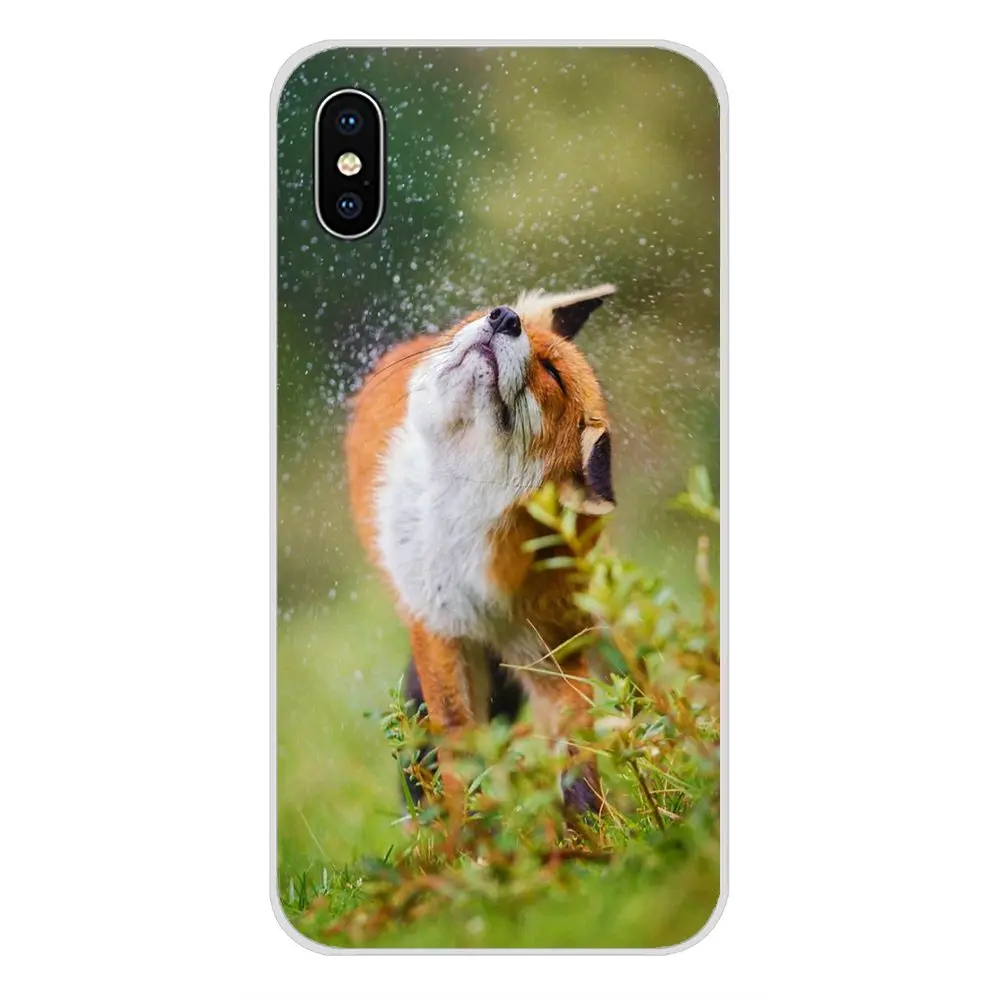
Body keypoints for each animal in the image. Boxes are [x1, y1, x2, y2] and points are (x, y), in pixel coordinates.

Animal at [345, 285, 616, 812]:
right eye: (502, 318)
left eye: (553, 374)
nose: (505, 317)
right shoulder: (437, 622)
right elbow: (456, 745)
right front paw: (467, 829)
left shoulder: (549, 646)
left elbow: (577, 758)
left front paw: (594, 827)